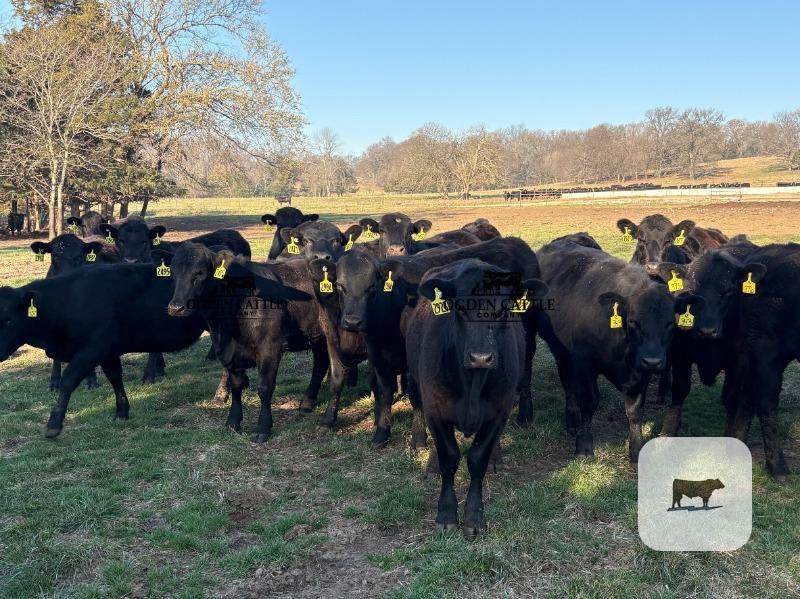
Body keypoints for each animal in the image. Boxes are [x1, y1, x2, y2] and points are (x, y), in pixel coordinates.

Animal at [0, 264, 207, 437]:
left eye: (9, 319)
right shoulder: (108, 353)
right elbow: (115, 378)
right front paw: (122, 412)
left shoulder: (92, 351)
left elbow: (68, 381)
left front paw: (54, 424)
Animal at [165, 243, 335, 441]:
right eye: (173, 272)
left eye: (200, 273)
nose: (175, 308)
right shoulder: (229, 353)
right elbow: (236, 387)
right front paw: (232, 422)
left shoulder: (270, 348)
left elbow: (264, 388)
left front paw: (263, 428)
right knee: (321, 363)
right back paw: (306, 403)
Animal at [405, 259, 548, 537]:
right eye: (459, 306)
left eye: (505, 308)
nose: (481, 357)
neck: (472, 383)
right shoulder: (436, 408)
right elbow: (449, 457)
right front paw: (446, 515)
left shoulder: (499, 410)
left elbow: (477, 459)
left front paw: (473, 517)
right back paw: (431, 465)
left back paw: (496, 459)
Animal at [536, 233, 700, 461]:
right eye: (633, 322)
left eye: (670, 323)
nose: (653, 361)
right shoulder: (583, 363)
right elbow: (589, 401)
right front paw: (584, 446)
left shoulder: (642, 371)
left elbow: (634, 411)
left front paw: (636, 449)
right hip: (560, 351)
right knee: (568, 385)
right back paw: (572, 421)